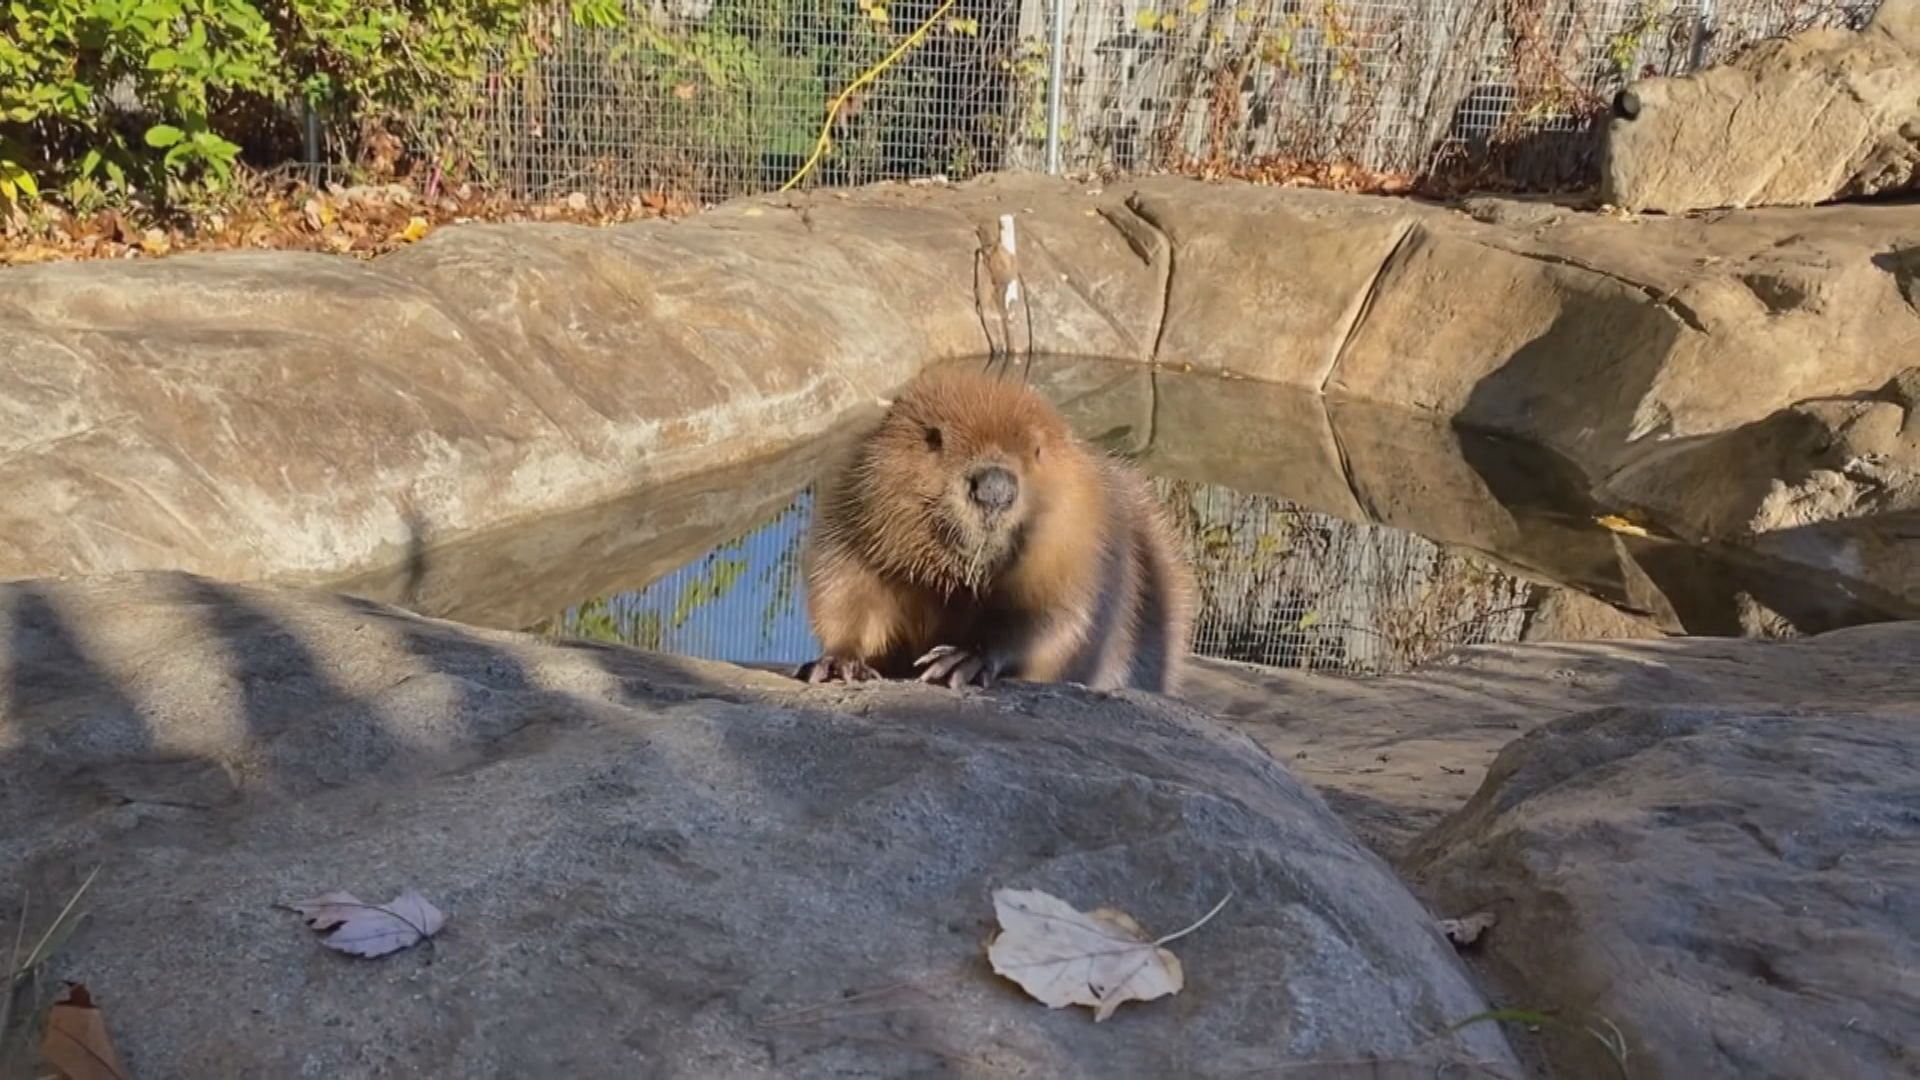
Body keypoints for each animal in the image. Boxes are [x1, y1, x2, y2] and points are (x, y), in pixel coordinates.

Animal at [791, 361, 1182, 691]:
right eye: (934, 437)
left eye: (1037, 449)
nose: (995, 488)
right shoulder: (849, 518)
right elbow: (842, 591)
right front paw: (839, 664)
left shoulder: (1082, 547)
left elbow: (1055, 620)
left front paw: (960, 660)